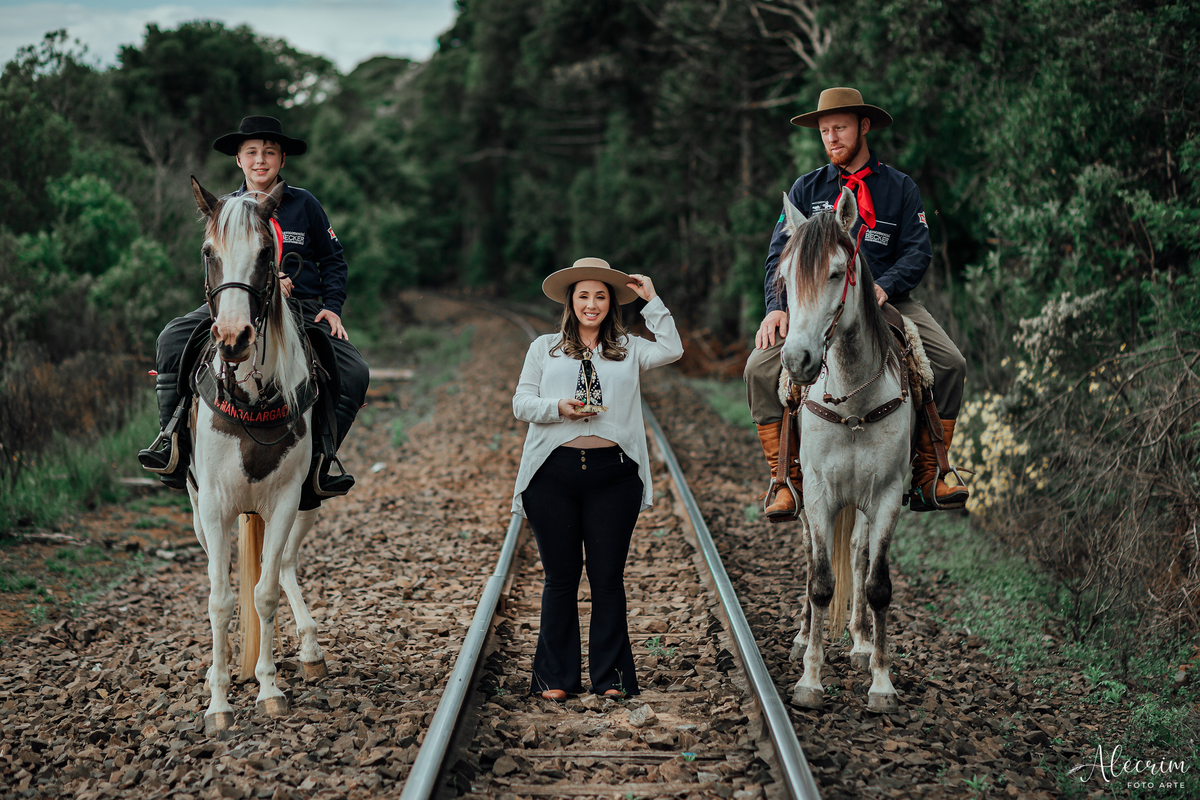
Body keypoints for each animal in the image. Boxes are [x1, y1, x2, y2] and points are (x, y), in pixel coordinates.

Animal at [186, 177, 327, 733]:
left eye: (268, 253)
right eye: (208, 252)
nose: (233, 339)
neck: (251, 399)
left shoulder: (287, 499)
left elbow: (264, 592)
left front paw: (268, 687)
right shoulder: (214, 507)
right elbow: (220, 601)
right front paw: (219, 701)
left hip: (305, 506)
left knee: (284, 562)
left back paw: (309, 650)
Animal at [777, 186, 917, 714]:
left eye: (837, 273)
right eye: (786, 277)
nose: (797, 360)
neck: (854, 400)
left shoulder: (887, 497)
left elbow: (877, 585)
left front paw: (881, 682)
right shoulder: (818, 493)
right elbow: (819, 581)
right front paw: (810, 679)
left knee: (856, 554)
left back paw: (858, 643)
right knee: (809, 553)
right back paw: (802, 636)